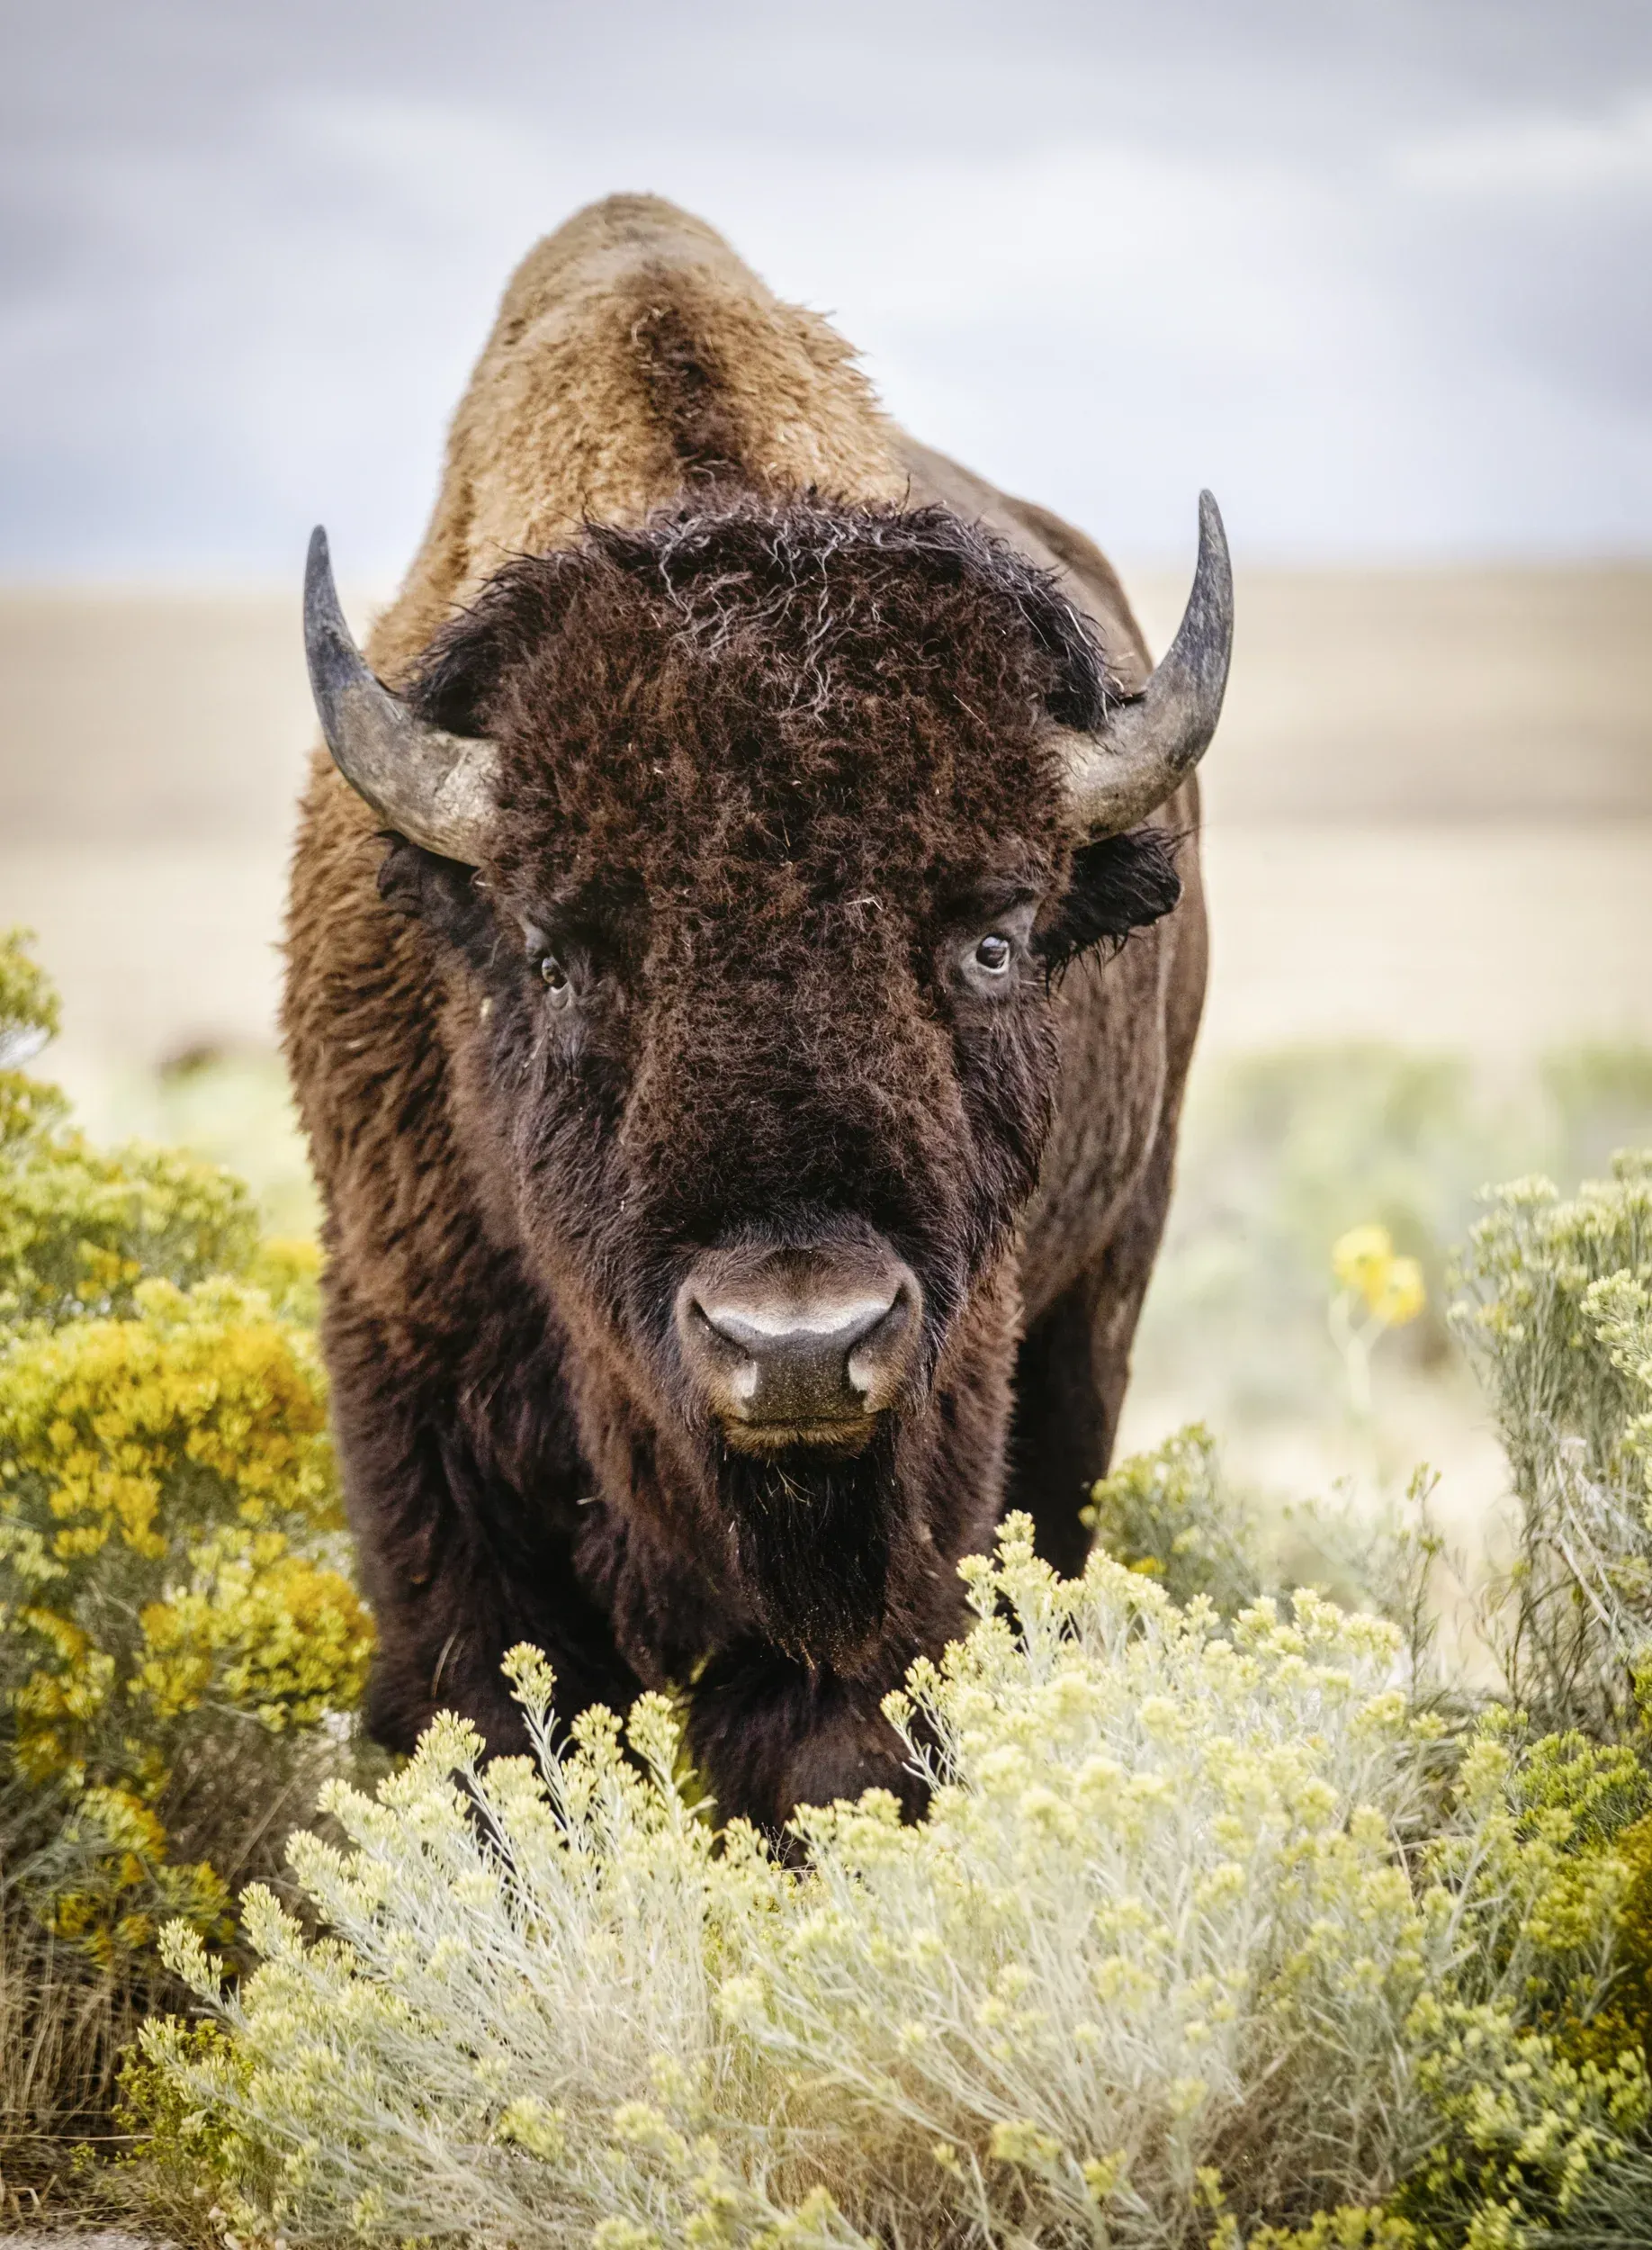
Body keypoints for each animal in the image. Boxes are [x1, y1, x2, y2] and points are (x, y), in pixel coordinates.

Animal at [288, 194, 1233, 1836]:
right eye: (554, 953)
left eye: (995, 941)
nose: (796, 1345)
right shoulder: (420, 1417)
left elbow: (832, 1753)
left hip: (1099, 1301)